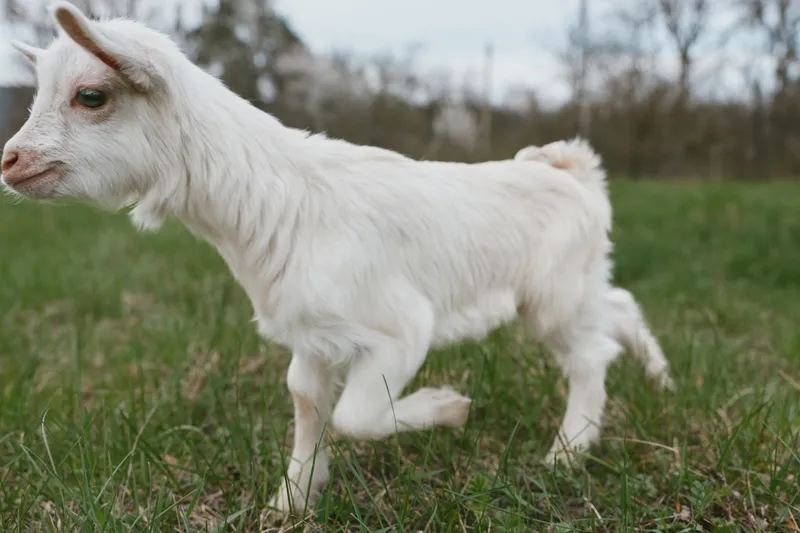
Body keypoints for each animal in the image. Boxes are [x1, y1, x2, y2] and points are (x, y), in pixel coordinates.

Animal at [1, 2, 674, 518]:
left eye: (91, 95)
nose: (9, 161)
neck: (279, 205)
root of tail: (574, 171)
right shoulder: (310, 336)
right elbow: (308, 403)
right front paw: (292, 501)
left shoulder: (400, 328)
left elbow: (356, 415)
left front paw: (448, 407)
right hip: (577, 283)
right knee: (619, 306)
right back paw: (661, 380)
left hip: (553, 295)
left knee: (591, 353)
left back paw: (567, 452)